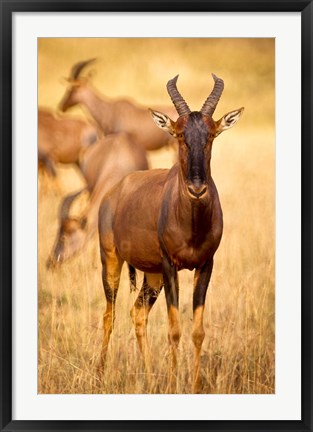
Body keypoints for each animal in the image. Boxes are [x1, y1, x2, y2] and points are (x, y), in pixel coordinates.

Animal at [97, 73, 244, 392]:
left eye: (212, 134)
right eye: (178, 134)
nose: (197, 188)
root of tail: (115, 191)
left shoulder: (205, 265)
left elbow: (197, 331)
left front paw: (194, 386)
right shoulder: (170, 266)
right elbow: (174, 329)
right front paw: (175, 384)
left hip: (152, 276)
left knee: (137, 314)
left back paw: (150, 377)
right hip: (112, 261)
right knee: (109, 314)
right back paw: (99, 374)